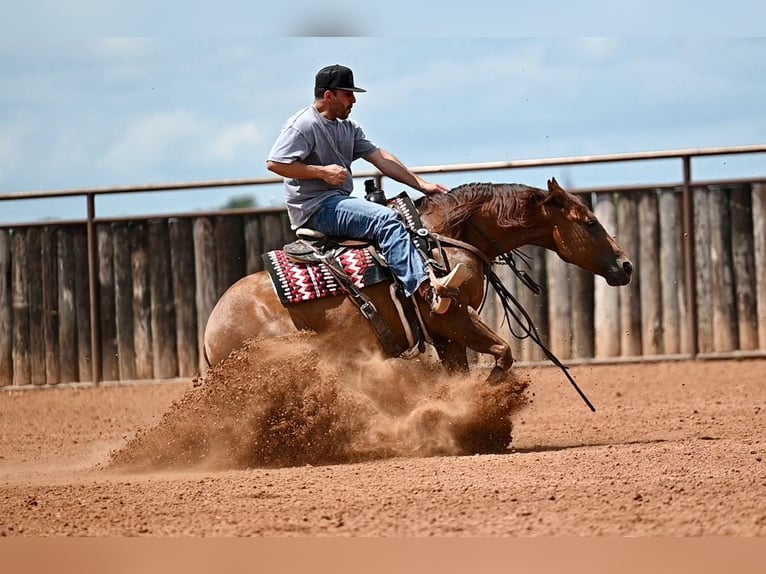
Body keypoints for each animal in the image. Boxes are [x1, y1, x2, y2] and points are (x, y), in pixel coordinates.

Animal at [203, 178, 632, 383]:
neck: (442, 236)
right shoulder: (452, 316)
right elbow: (504, 353)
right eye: (589, 222)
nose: (626, 265)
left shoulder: (444, 334)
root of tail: (211, 329)